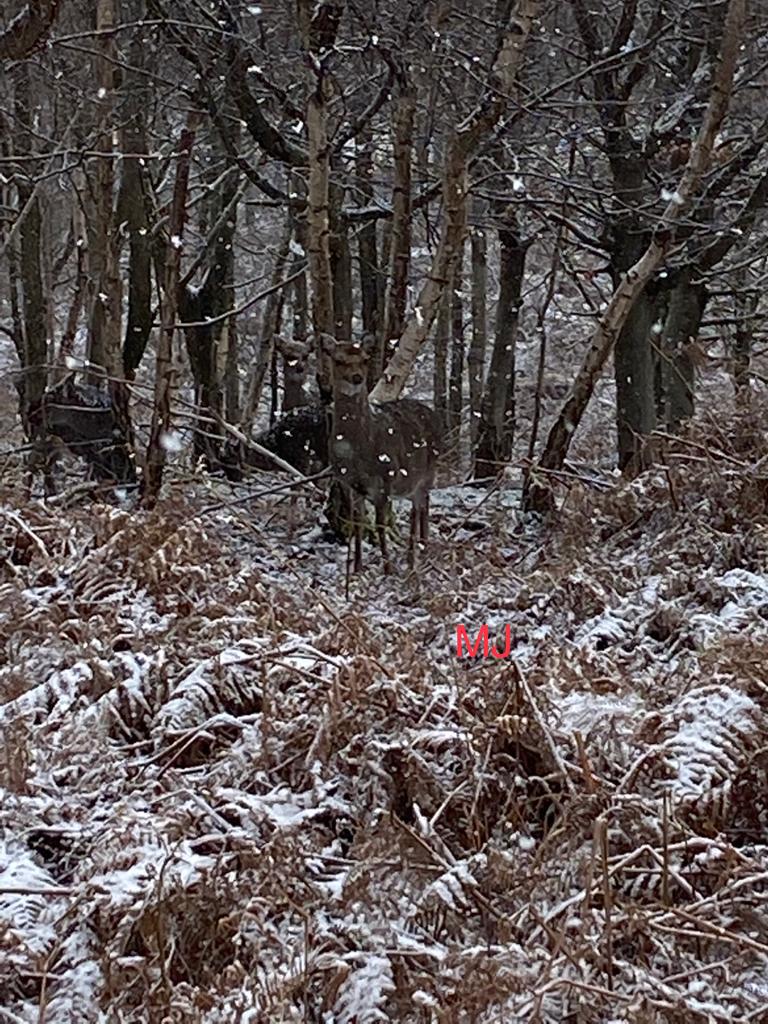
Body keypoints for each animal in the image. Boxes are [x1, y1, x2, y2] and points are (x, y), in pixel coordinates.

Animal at [322, 333, 442, 573]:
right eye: (339, 360)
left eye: (365, 359)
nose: (357, 377)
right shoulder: (351, 483)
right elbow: (358, 523)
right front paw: (357, 567)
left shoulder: (385, 479)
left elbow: (380, 524)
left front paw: (387, 568)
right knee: (421, 505)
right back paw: (418, 552)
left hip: (427, 472)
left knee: (420, 506)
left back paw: (416, 555)